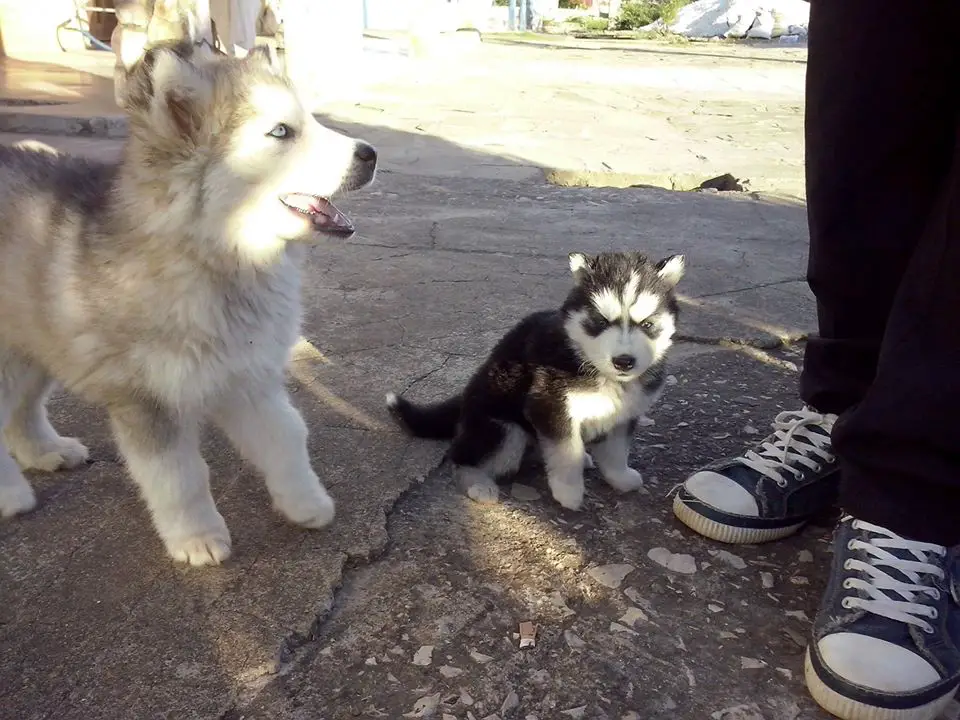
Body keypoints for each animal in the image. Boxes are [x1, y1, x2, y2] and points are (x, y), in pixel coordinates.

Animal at [0, 40, 378, 568]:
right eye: (281, 132)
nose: (372, 155)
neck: (221, 260)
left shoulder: (248, 373)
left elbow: (287, 436)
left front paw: (306, 502)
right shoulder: (147, 398)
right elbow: (179, 476)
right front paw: (197, 536)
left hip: (38, 343)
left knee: (22, 407)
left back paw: (45, 450)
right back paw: (10, 493)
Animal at [382, 250, 684, 510]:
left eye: (647, 325)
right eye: (600, 322)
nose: (624, 361)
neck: (593, 365)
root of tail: (464, 401)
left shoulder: (624, 413)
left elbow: (616, 450)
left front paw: (620, 477)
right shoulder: (550, 404)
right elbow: (565, 452)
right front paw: (569, 492)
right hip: (504, 431)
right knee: (462, 457)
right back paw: (478, 484)